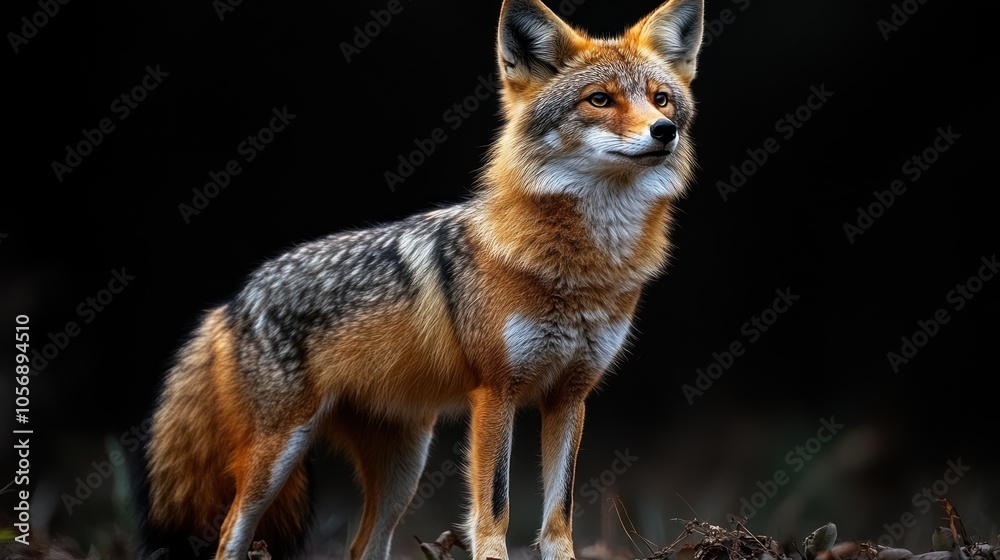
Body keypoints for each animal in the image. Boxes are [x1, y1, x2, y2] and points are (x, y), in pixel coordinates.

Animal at [137, 0, 704, 558]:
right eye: (600, 99)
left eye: (661, 100)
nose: (664, 130)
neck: (581, 272)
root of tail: (231, 302)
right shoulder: (494, 393)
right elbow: (493, 514)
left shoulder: (570, 395)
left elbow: (558, 522)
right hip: (276, 460)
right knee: (229, 536)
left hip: (403, 473)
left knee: (362, 546)